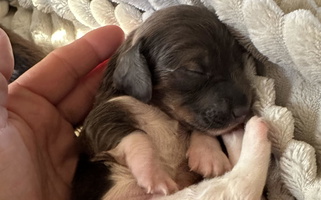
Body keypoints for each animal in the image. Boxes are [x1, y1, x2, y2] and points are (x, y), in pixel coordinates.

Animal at [72, 4, 252, 200]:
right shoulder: (101, 118)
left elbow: (202, 128)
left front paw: (209, 155)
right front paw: (154, 175)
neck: (163, 111)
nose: (244, 110)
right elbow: (139, 136)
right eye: (194, 71)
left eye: (239, 63)